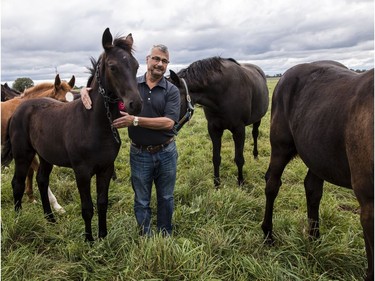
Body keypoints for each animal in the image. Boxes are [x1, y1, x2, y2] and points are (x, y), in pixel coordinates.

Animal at [169, 57, 268, 187]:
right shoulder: (213, 129)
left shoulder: (239, 129)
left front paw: (241, 182)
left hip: (257, 119)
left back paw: (256, 155)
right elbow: (216, 158)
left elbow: (239, 158)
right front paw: (216, 183)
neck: (222, 94)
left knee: (255, 134)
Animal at [262, 60, 374, 278]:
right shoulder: (369, 204)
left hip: (317, 155)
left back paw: (314, 240)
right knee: (272, 185)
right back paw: (268, 235)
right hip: (281, 147)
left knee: (312, 189)